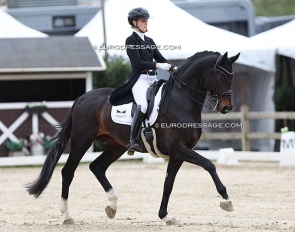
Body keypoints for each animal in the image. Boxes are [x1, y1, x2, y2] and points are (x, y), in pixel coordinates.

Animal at [26, 50, 240, 225]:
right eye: (220, 75)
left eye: (233, 76)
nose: (227, 107)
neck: (181, 101)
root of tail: (82, 98)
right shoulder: (179, 149)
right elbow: (209, 165)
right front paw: (226, 200)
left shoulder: (178, 153)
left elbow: (168, 183)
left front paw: (165, 216)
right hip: (82, 140)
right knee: (68, 171)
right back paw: (67, 216)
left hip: (116, 146)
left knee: (97, 167)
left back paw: (112, 207)